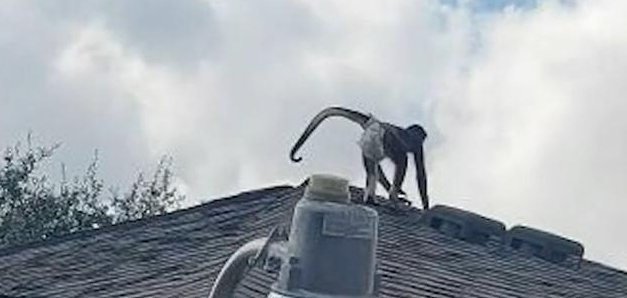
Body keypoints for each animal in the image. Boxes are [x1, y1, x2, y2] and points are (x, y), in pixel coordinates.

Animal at [290, 107, 430, 210]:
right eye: (422, 136)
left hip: (368, 143)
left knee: (373, 169)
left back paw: (371, 200)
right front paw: (426, 207)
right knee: (402, 160)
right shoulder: (418, 145)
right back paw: (393, 197)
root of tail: (375, 122)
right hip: (384, 141)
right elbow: (420, 173)